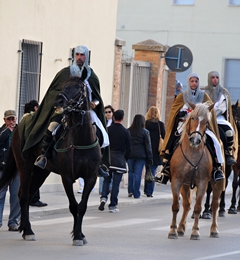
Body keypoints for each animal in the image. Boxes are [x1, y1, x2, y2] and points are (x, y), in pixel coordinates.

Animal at [0, 77, 101, 246]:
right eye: (64, 85)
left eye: (78, 86)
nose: (59, 101)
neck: (81, 140)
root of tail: (18, 127)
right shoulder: (67, 177)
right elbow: (74, 206)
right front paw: (77, 236)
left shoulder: (91, 177)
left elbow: (82, 207)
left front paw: (80, 234)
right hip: (25, 166)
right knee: (24, 195)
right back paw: (28, 231)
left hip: (41, 172)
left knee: (27, 194)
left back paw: (24, 227)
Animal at [168, 102, 222, 241]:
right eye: (192, 118)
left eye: (207, 122)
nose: (195, 140)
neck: (192, 152)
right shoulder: (177, 181)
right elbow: (175, 206)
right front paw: (173, 231)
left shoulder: (202, 183)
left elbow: (198, 207)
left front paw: (195, 232)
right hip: (185, 185)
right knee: (186, 204)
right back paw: (181, 228)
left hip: (216, 183)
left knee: (215, 204)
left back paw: (214, 229)